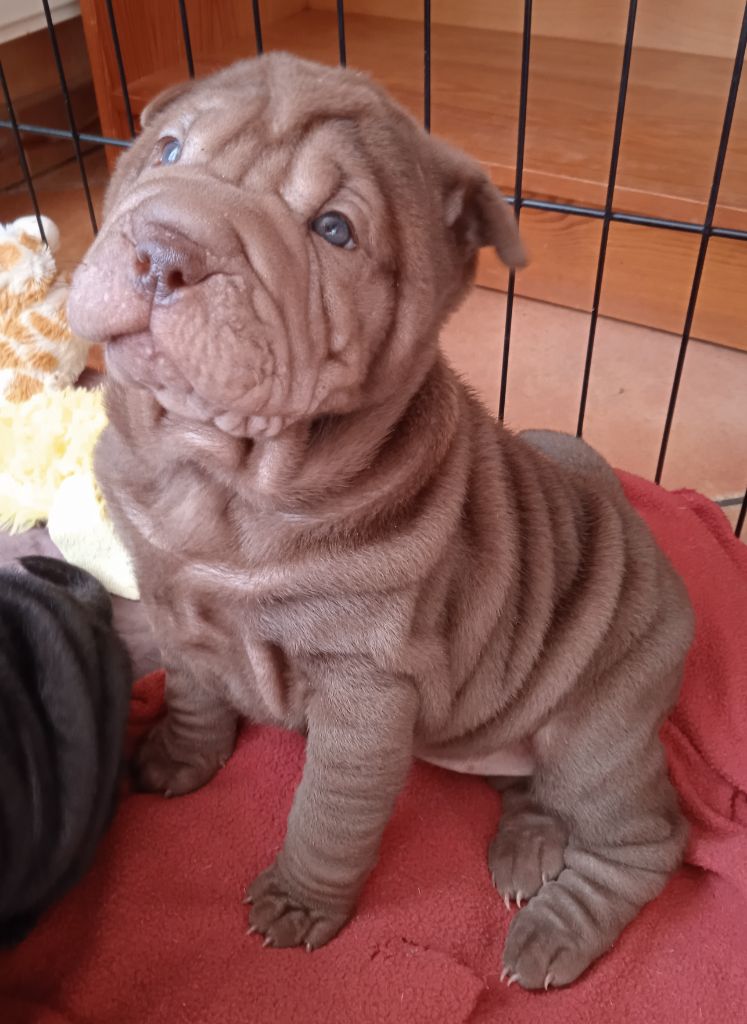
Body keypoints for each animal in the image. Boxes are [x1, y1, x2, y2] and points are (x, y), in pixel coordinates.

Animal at [68, 53, 694, 988]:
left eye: (334, 230)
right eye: (169, 148)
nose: (163, 250)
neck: (214, 478)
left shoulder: (365, 687)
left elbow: (329, 812)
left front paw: (299, 904)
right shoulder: (172, 602)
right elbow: (192, 691)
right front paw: (178, 756)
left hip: (602, 729)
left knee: (645, 837)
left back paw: (552, 932)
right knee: (534, 789)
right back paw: (526, 848)